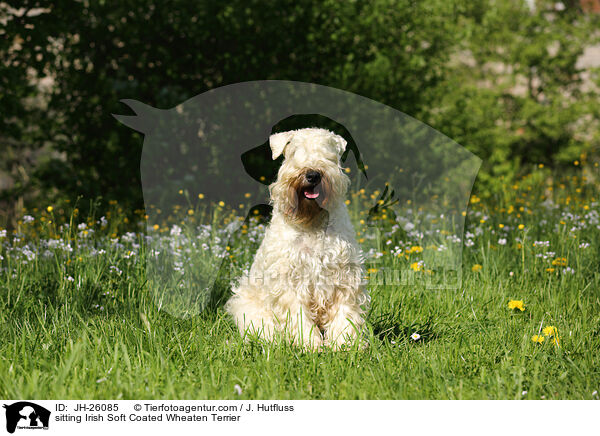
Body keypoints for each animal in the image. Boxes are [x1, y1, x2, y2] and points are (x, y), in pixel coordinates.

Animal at [225, 127, 368, 350]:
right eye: (294, 151)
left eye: (328, 152)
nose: (313, 174)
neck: (311, 222)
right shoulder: (289, 282)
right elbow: (299, 316)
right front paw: (310, 344)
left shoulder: (344, 277)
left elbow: (345, 314)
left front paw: (346, 344)